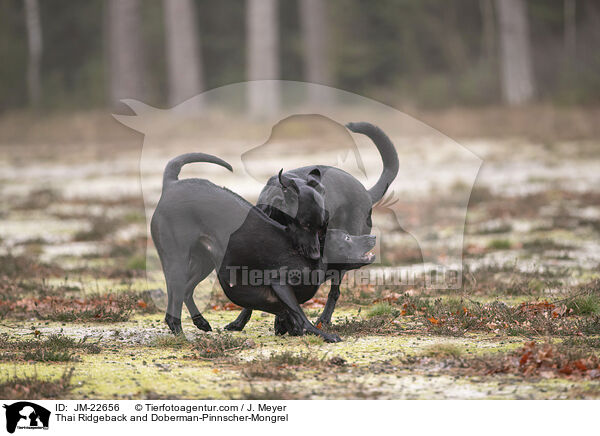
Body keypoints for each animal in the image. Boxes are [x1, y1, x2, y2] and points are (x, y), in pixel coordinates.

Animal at [151, 152, 376, 340]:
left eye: (324, 227)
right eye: (346, 238)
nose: (372, 238)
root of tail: (171, 185)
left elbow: (289, 315)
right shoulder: (280, 284)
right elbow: (299, 315)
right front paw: (321, 334)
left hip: (205, 261)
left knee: (186, 290)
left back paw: (200, 322)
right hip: (177, 260)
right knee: (175, 297)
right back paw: (180, 333)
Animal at [225, 120, 398, 330]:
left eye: (323, 226)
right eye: (306, 225)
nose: (316, 254)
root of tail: (366, 192)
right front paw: (240, 321)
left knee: (334, 291)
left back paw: (323, 320)